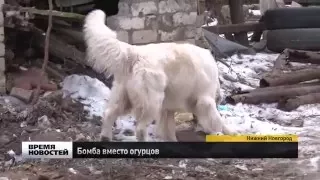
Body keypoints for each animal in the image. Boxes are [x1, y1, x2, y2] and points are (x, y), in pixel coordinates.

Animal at [82, 9, 232, 142]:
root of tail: (136, 53)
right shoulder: (205, 100)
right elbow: (216, 120)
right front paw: (223, 131)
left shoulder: (168, 109)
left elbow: (168, 127)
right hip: (152, 102)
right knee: (140, 128)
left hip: (124, 97)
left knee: (109, 114)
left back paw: (105, 137)